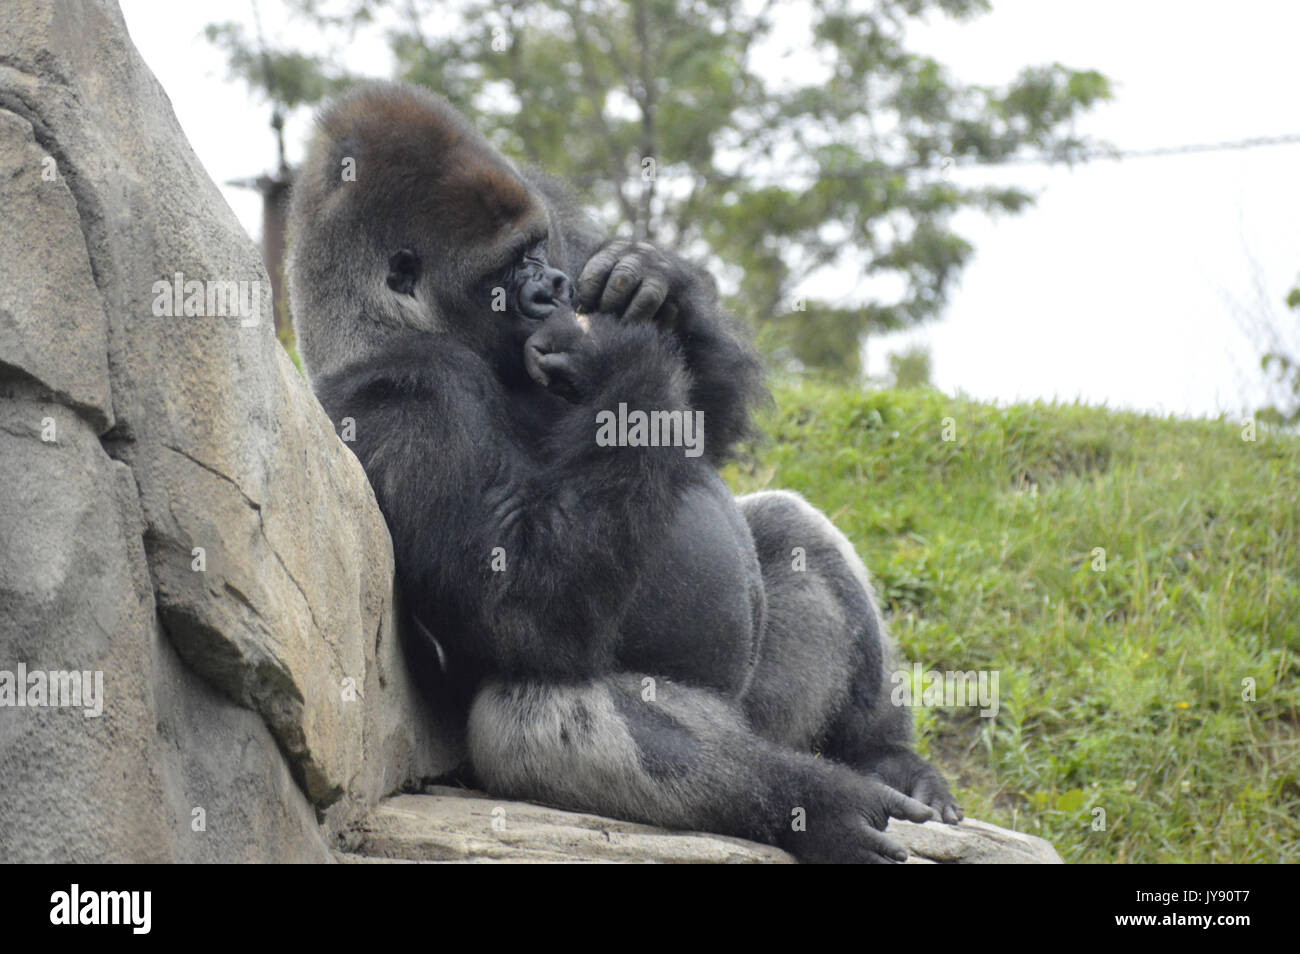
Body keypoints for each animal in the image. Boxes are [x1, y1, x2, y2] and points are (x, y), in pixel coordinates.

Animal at [287, 81, 960, 863]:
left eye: (538, 250)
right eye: (504, 272)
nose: (553, 287)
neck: (378, 325)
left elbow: (705, 432)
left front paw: (656, 282)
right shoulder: (406, 404)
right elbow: (520, 605)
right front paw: (623, 355)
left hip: (761, 710)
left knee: (792, 526)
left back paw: (881, 754)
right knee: (539, 713)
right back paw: (806, 801)